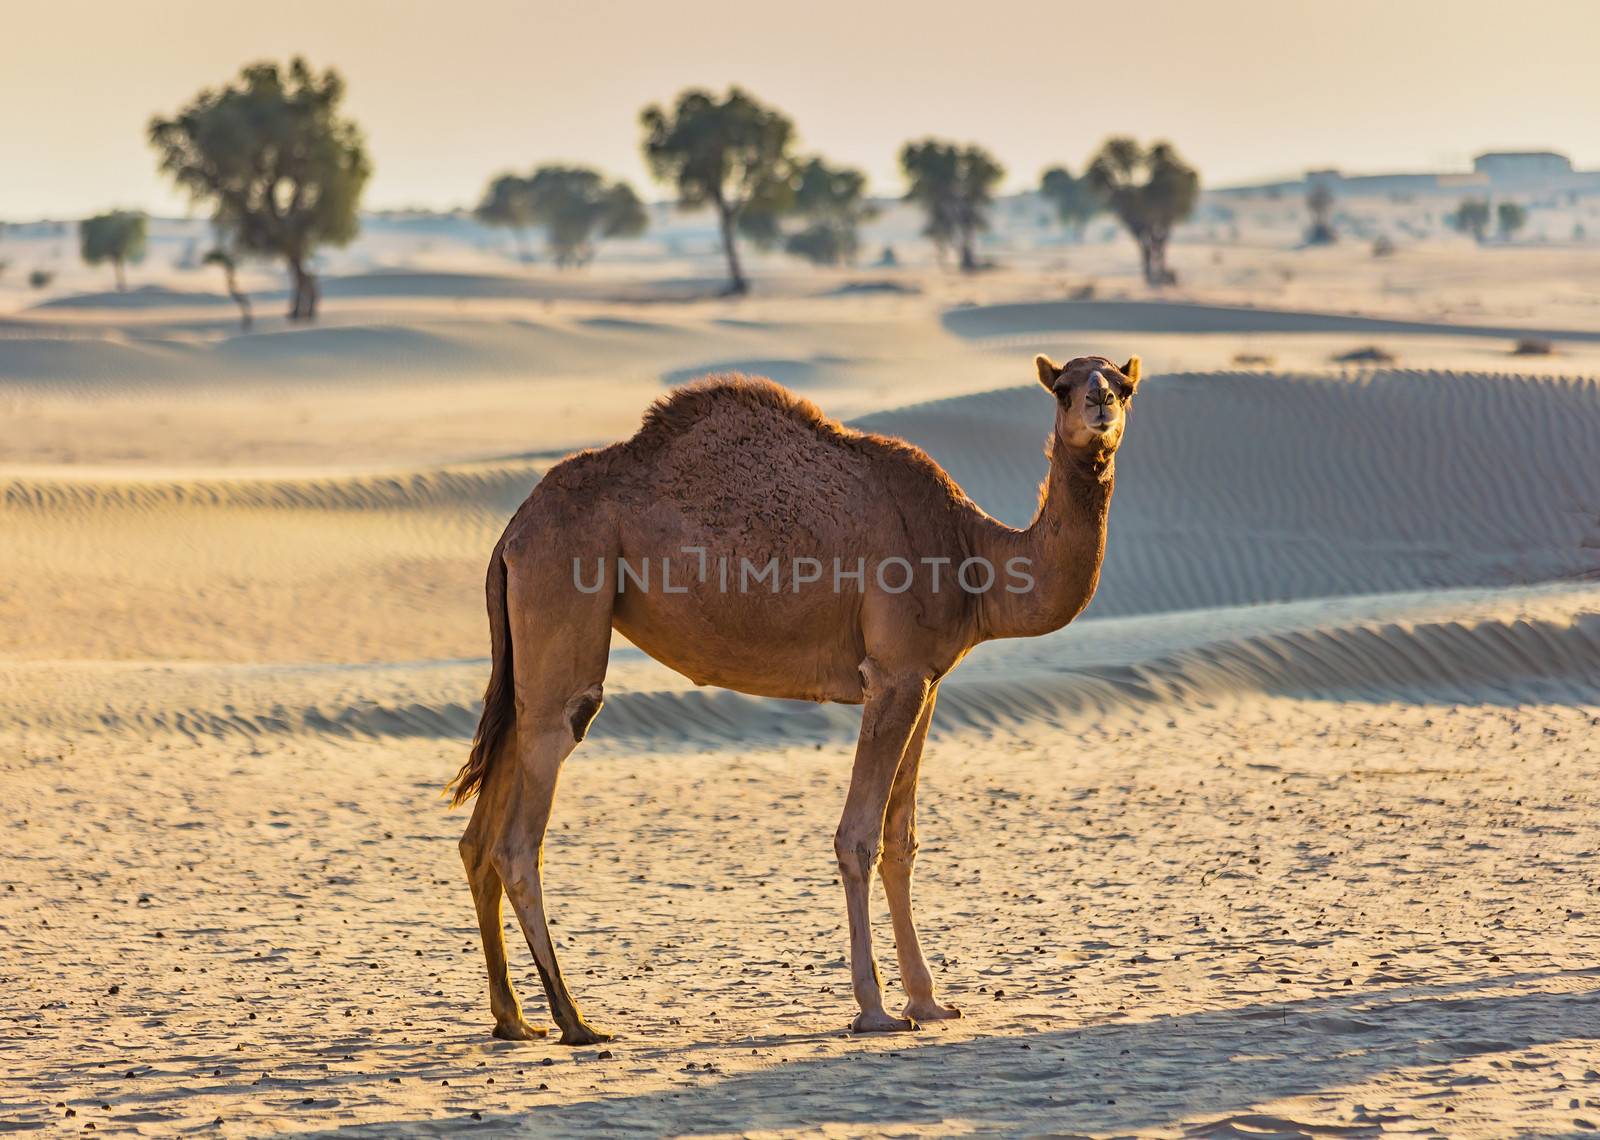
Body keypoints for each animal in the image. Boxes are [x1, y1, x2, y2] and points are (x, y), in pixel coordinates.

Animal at [451, 352, 1145, 1043]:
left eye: (1123, 384)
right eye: (1062, 388)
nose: (1101, 403)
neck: (977, 558)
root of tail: (512, 532)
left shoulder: (927, 682)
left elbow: (902, 839)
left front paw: (929, 1002)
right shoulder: (892, 675)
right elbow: (858, 837)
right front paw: (875, 1008)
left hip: (524, 657)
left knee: (481, 828)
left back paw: (513, 1018)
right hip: (565, 597)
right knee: (522, 832)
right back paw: (575, 1020)